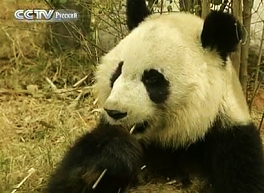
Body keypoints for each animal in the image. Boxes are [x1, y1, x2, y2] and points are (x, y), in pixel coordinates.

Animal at [44, 0, 264, 193]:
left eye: (152, 79)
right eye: (118, 71)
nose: (115, 112)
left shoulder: (232, 143)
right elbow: (68, 179)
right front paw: (113, 153)